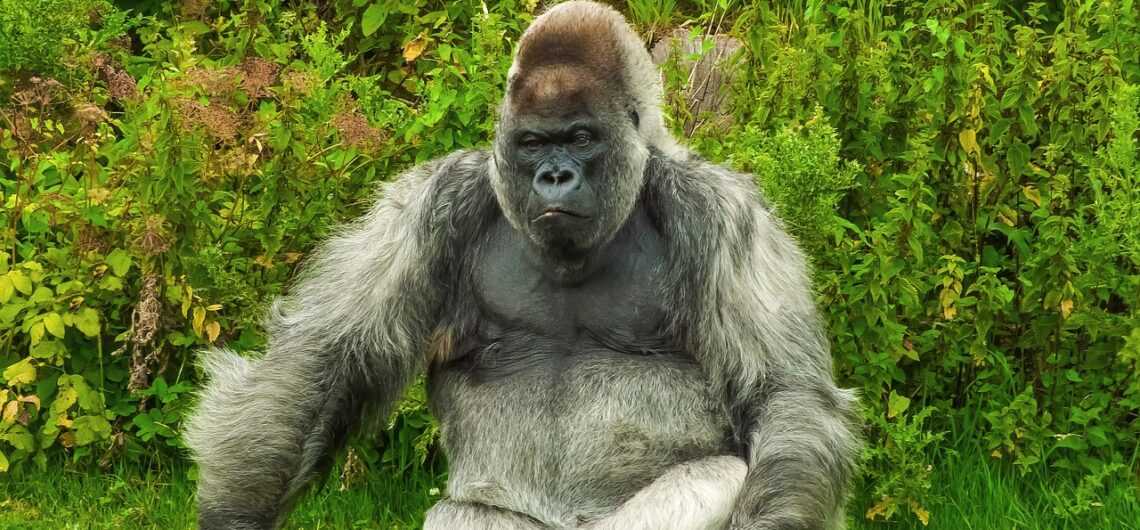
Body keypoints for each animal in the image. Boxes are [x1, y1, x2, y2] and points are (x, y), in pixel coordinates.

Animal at [183, 2, 861, 529]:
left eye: (581, 137)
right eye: (534, 143)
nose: (554, 177)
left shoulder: (725, 215)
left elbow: (784, 396)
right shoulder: (429, 205)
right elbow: (323, 361)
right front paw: (234, 515)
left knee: (721, 475)